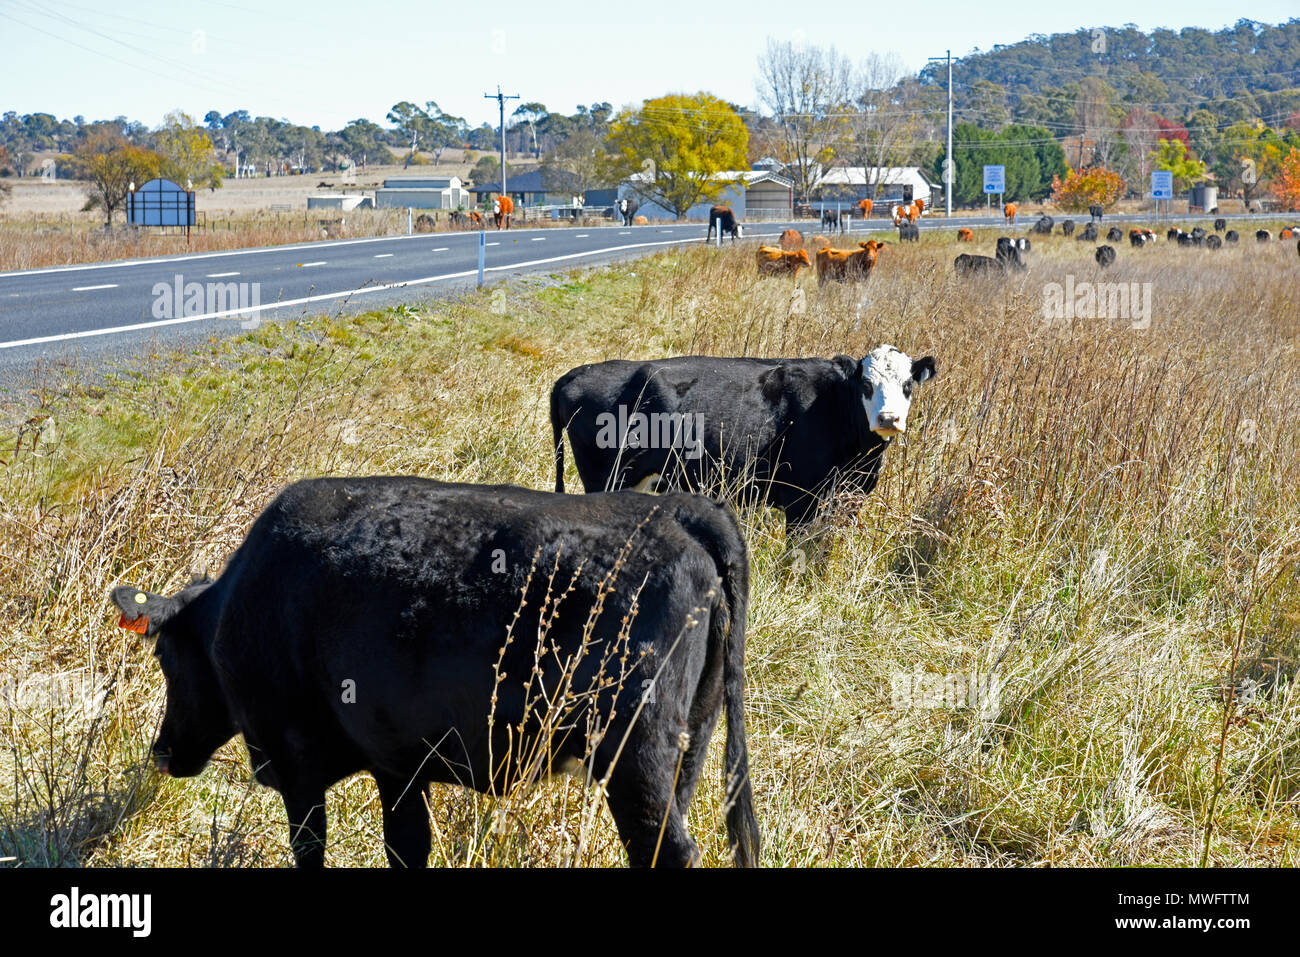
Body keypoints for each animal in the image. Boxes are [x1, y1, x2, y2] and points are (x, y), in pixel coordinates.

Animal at [114, 475, 759, 868]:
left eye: (163, 657)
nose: (161, 752)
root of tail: (679, 510)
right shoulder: (396, 763)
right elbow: (407, 847)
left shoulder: (294, 764)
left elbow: (311, 850)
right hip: (689, 744)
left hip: (636, 753)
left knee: (666, 850)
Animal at [548, 343, 935, 527]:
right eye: (866, 385)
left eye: (907, 385)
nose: (889, 418)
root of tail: (572, 375)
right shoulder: (801, 501)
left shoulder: (848, 499)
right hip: (606, 481)